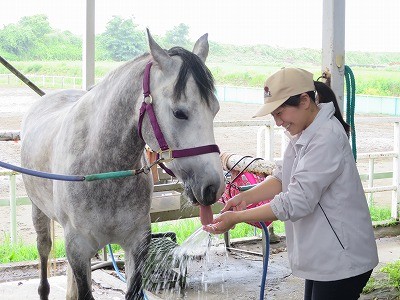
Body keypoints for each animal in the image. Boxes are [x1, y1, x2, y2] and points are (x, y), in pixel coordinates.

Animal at [20, 31, 225, 300]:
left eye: (215, 109)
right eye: (179, 112)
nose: (213, 186)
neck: (103, 171)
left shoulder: (137, 243)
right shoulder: (78, 247)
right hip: (39, 212)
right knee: (43, 250)